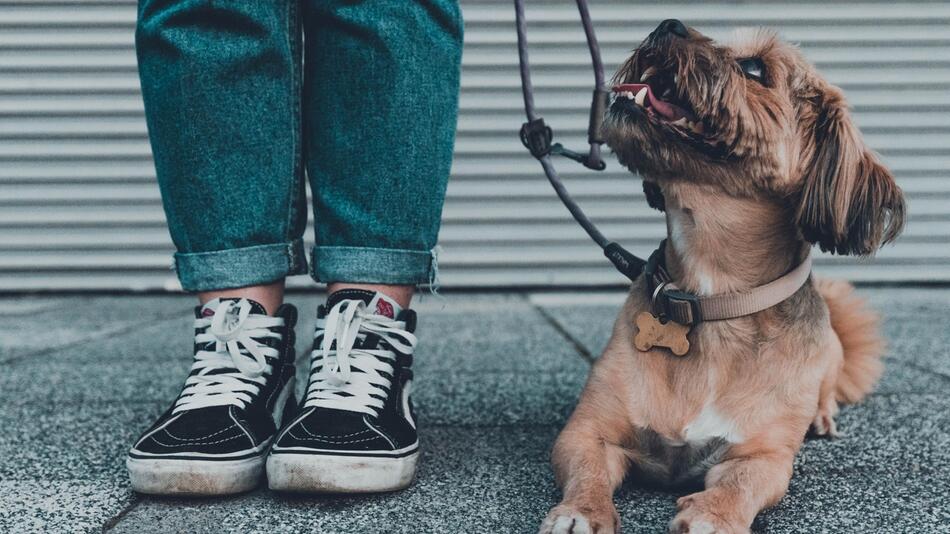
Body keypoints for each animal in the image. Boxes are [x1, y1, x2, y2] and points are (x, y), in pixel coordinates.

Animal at [544, 19, 908, 534]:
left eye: (753, 67)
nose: (667, 24)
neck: (710, 299)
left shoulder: (761, 457)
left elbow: (740, 485)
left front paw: (712, 515)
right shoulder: (586, 432)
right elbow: (587, 471)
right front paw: (582, 512)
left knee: (826, 391)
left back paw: (821, 416)